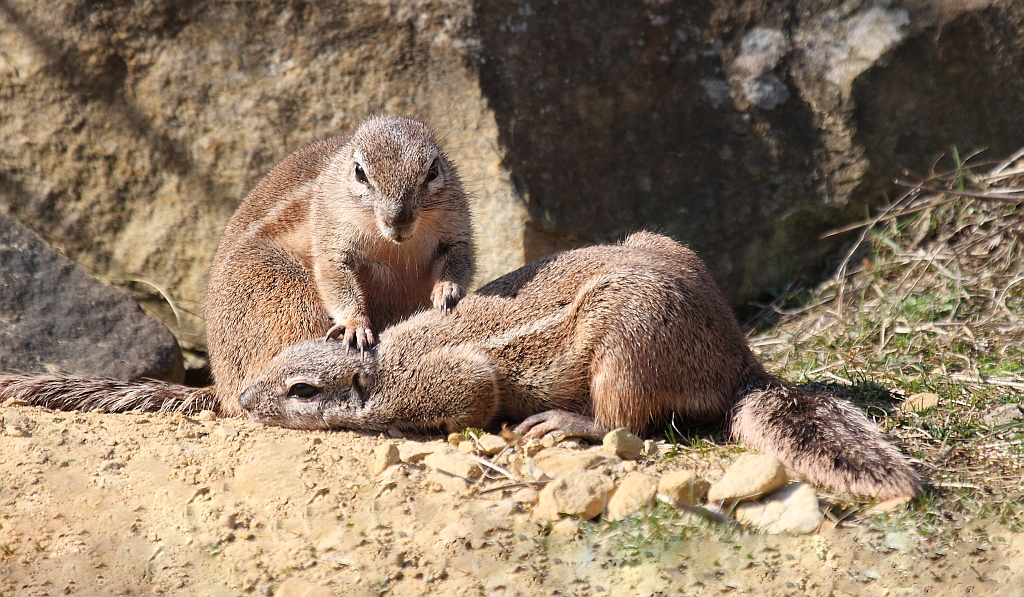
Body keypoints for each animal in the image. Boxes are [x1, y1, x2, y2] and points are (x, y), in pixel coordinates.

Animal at [2, 115, 473, 415]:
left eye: (433, 170)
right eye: (360, 173)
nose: (398, 219)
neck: (394, 246)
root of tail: (221, 385)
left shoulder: (455, 228)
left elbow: (460, 261)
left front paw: (447, 292)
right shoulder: (331, 238)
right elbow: (337, 278)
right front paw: (357, 325)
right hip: (285, 298)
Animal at [243, 233, 925, 499]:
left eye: (301, 390)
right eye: (274, 361)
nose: (244, 401)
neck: (383, 362)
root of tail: (738, 359)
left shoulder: (452, 379)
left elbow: (471, 391)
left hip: (628, 342)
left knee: (623, 422)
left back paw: (566, 424)